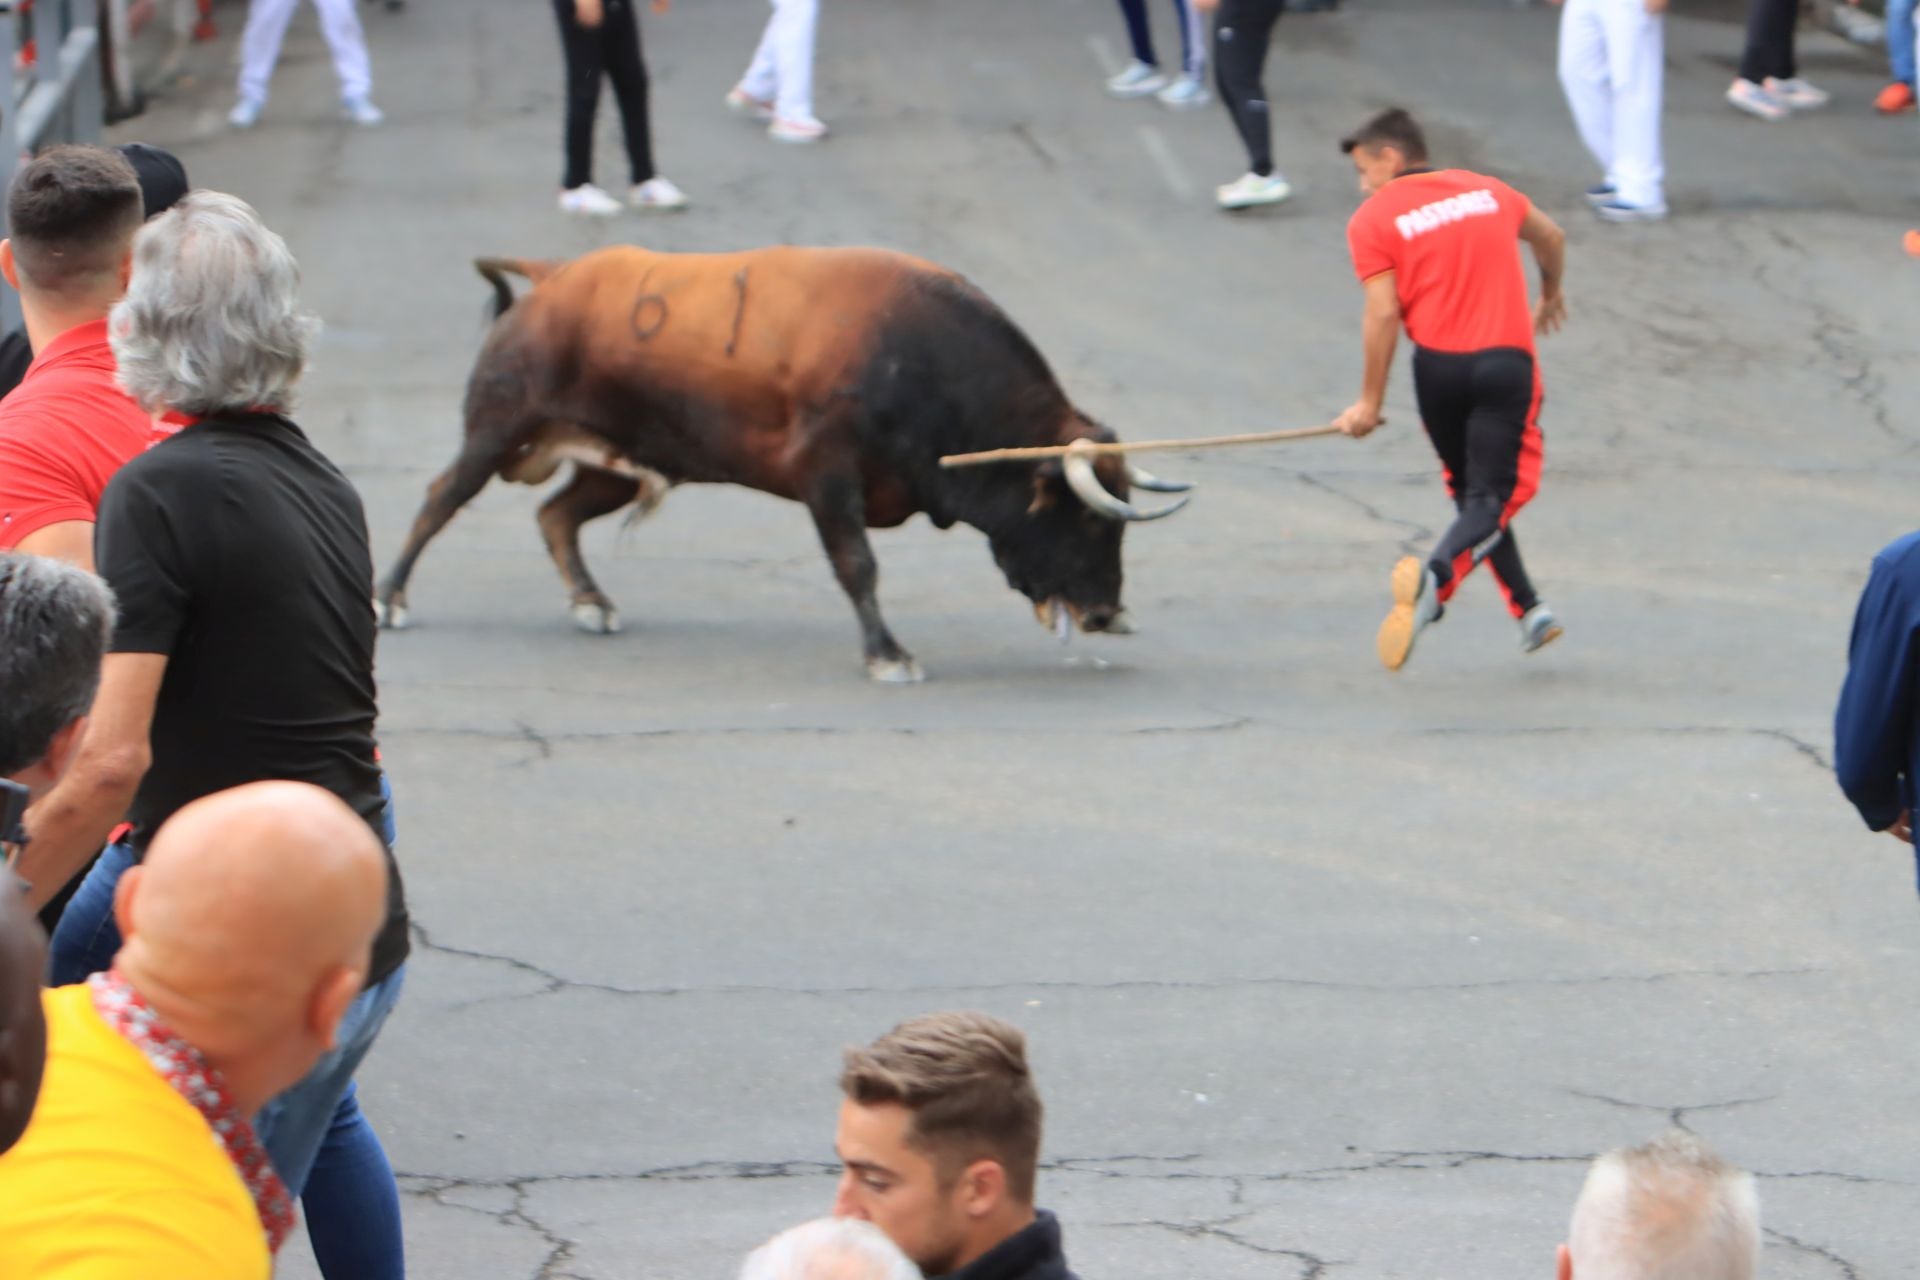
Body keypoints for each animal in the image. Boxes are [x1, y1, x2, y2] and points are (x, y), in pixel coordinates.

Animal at [372, 241, 1182, 679]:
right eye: (1088, 521)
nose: (1108, 614)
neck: (915, 356)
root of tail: (554, 276)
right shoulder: (827, 474)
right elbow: (858, 565)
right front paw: (887, 654)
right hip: (496, 428)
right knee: (443, 495)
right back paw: (391, 598)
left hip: (618, 460)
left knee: (557, 514)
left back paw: (591, 602)